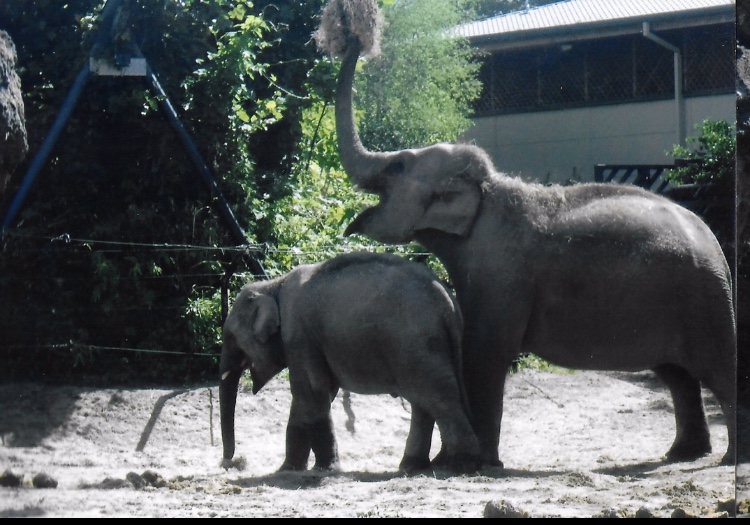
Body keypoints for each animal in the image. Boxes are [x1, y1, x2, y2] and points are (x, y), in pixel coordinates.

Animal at [219, 251, 482, 473]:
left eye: (231, 338)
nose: (228, 462)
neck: (273, 285)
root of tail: (447, 300)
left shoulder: (299, 335)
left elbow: (311, 391)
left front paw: (323, 469)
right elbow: (311, 397)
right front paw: (289, 470)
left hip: (417, 345)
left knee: (439, 399)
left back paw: (463, 466)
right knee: (424, 402)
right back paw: (411, 466)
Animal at [314, 0, 736, 467]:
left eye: (397, 167)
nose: (354, 31)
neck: (487, 190)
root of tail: (712, 240)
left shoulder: (501, 272)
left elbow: (484, 350)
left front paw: (472, 465)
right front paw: (462, 461)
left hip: (704, 300)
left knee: (718, 369)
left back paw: (730, 458)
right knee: (677, 373)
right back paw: (683, 455)